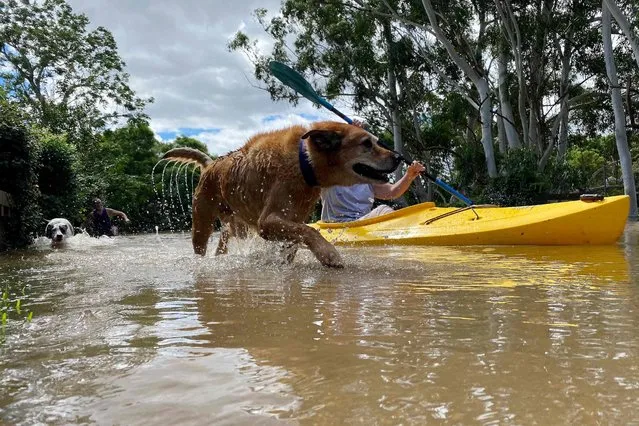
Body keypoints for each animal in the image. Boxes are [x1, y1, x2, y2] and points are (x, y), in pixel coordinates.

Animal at [161, 120, 400, 266]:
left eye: (376, 142)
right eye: (366, 143)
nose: (398, 157)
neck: (304, 164)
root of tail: (211, 164)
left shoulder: (291, 219)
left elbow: (297, 238)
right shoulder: (267, 222)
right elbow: (309, 230)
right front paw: (328, 253)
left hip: (237, 226)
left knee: (223, 245)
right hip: (202, 224)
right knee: (201, 246)